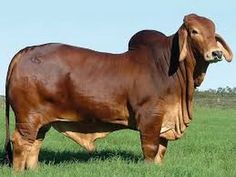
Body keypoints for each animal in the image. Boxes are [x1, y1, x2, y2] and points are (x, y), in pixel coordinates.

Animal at [2, 13, 233, 171]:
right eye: (194, 31)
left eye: (213, 32)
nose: (216, 53)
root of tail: (25, 51)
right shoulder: (150, 117)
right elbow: (150, 148)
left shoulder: (165, 120)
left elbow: (161, 150)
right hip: (27, 117)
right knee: (21, 143)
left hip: (41, 121)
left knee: (35, 143)